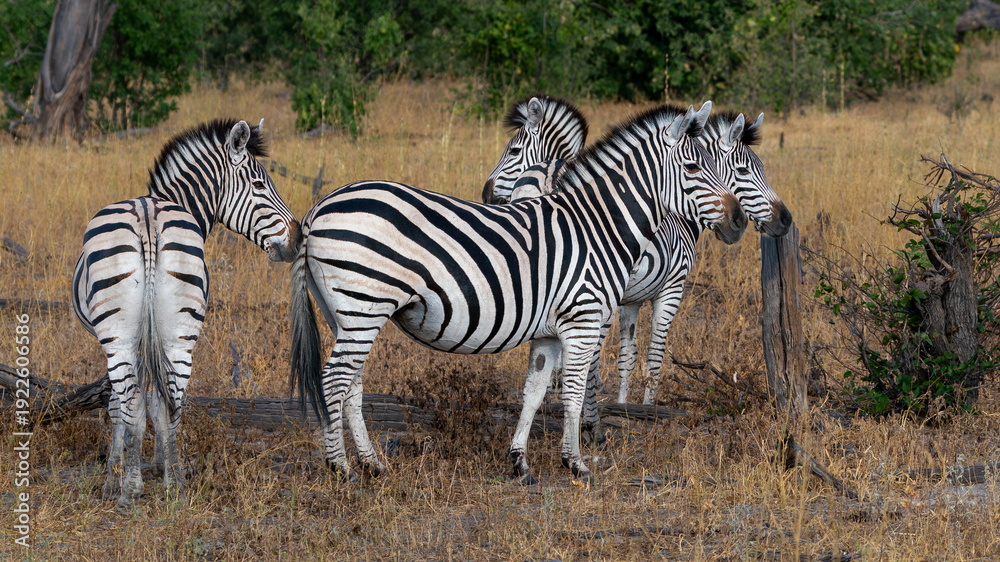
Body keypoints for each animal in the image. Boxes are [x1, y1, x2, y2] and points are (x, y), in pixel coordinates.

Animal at [72, 119, 300, 509]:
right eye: (259, 186)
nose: (298, 239)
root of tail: (147, 214)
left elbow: (124, 408)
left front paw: (116, 477)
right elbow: (152, 401)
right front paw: (156, 466)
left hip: (120, 337)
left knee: (135, 402)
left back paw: (130, 490)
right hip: (180, 331)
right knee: (172, 401)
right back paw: (174, 484)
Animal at [290, 101, 747, 485]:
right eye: (693, 167)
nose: (739, 221)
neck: (598, 226)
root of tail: (318, 208)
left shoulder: (548, 332)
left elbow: (534, 392)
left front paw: (520, 463)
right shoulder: (582, 321)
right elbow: (574, 393)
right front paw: (576, 463)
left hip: (348, 313)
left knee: (352, 384)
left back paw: (373, 464)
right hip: (364, 305)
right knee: (334, 379)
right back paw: (342, 469)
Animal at [487, 110, 792, 447]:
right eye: (743, 171)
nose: (785, 220)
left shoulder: (628, 301)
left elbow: (627, 356)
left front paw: (623, 407)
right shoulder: (671, 288)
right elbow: (654, 353)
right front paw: (648, 410)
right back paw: (590, 424)